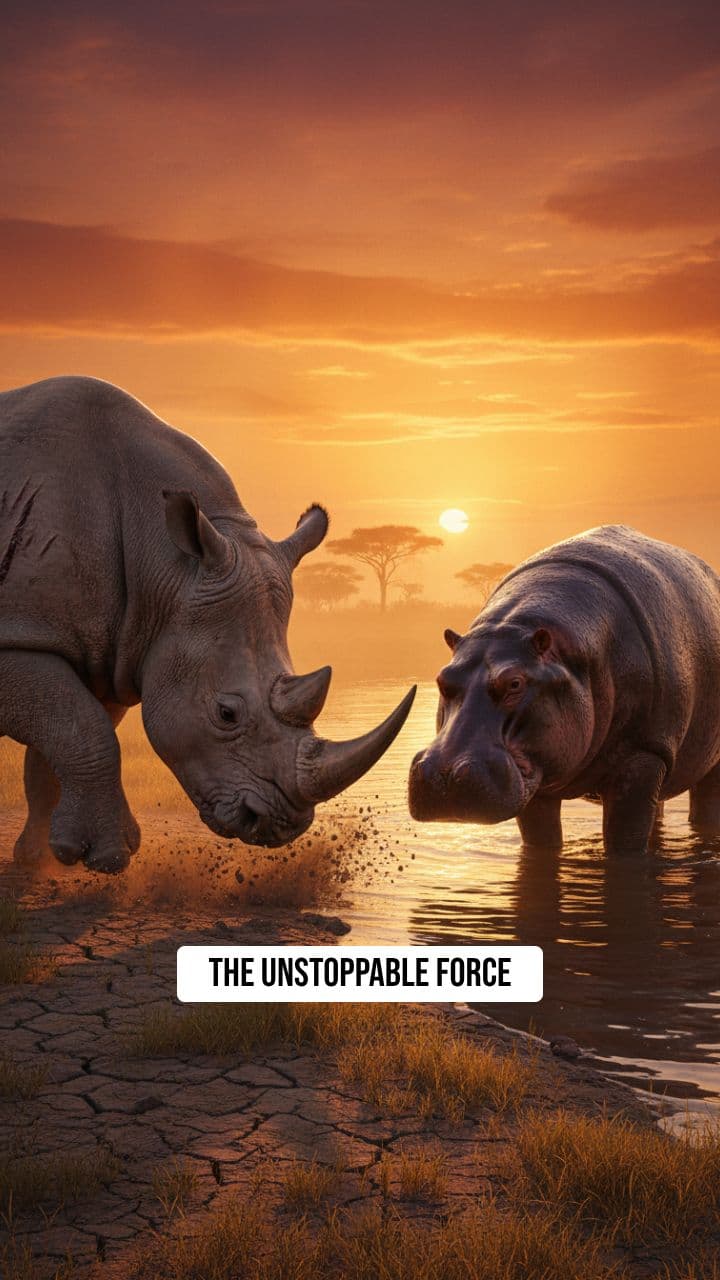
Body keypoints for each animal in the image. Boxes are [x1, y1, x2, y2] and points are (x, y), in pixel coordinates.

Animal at [0, 376, 415, 873]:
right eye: (226, 713)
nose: (279, 826)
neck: (162, 565)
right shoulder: (18, 634)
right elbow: (84, 733)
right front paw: (106, 859)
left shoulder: (109, 654)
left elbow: (61, 747)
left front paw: (40, 862)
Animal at [409, 525, 720, 855]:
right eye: (442, 678)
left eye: (515, 683)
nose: (443, 774)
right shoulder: (539, 778)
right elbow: (541, 839)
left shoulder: (644, 753)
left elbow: (625, 840)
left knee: (706, 803)